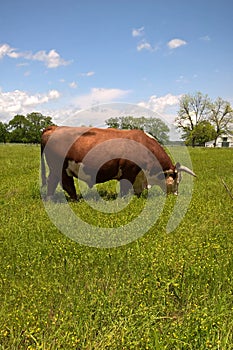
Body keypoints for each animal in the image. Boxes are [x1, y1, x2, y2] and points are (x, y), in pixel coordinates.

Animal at [41, 126, 196, 200]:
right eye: (177, 180)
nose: (175, 195)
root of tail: (56, 127)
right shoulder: (129, 172)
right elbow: (125, 189)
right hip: (60, 169)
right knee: (63, 184)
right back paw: (73, 200)